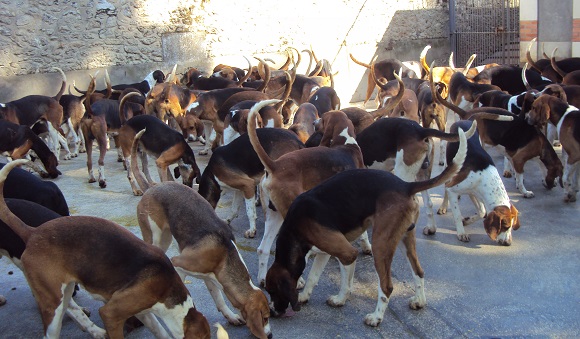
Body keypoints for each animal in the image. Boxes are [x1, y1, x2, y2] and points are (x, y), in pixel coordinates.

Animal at [0, 160, 211, 339]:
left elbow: (159, 330)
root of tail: (32, 232)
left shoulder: (143, 313)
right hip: (53, 305)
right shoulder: (111, 314)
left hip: (64, 292)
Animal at [266, 127, 468, 326]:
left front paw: (340, 300)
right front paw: (304, 296)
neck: (295, 227)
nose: (272, 312)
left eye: (272, 291)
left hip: (381, 245)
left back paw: (376, 317)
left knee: (387, 286)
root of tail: (406, 185)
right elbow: (313, 277)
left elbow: (345, 283)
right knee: (418, 272)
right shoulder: (324, 251)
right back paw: (419, 301)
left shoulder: (347, 254)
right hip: (405, 239)